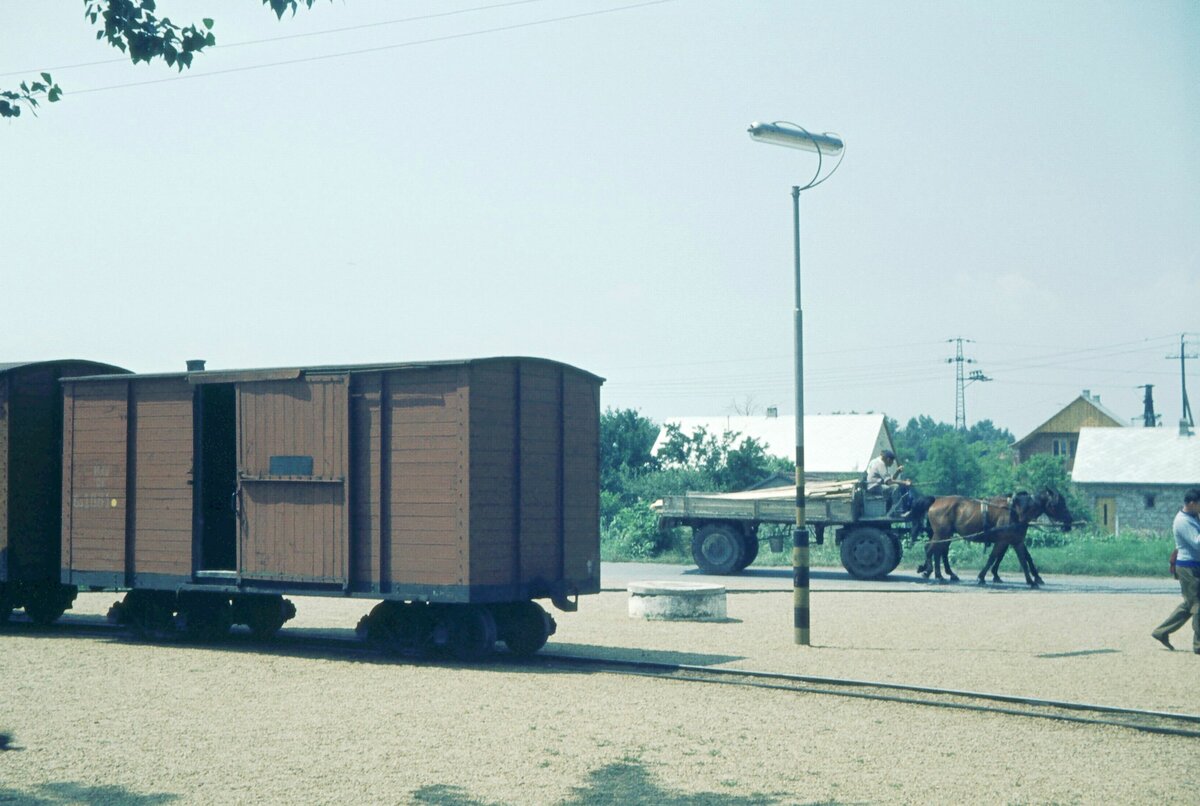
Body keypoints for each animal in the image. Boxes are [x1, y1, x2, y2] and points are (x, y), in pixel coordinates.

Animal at [912, 491, 1075, 585]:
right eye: (1058, 503)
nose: (1069, 522)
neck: (1016, 511)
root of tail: (936, 499)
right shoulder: (1003, 541)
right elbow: (993, 557)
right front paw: (982, 576)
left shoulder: (1016, 541)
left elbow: (1023, 559)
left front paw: (1032, 579)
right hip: (942, 533)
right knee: (932, 549)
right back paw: (931, 571)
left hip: (946, 534)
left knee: (938, 551)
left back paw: (939, 573)